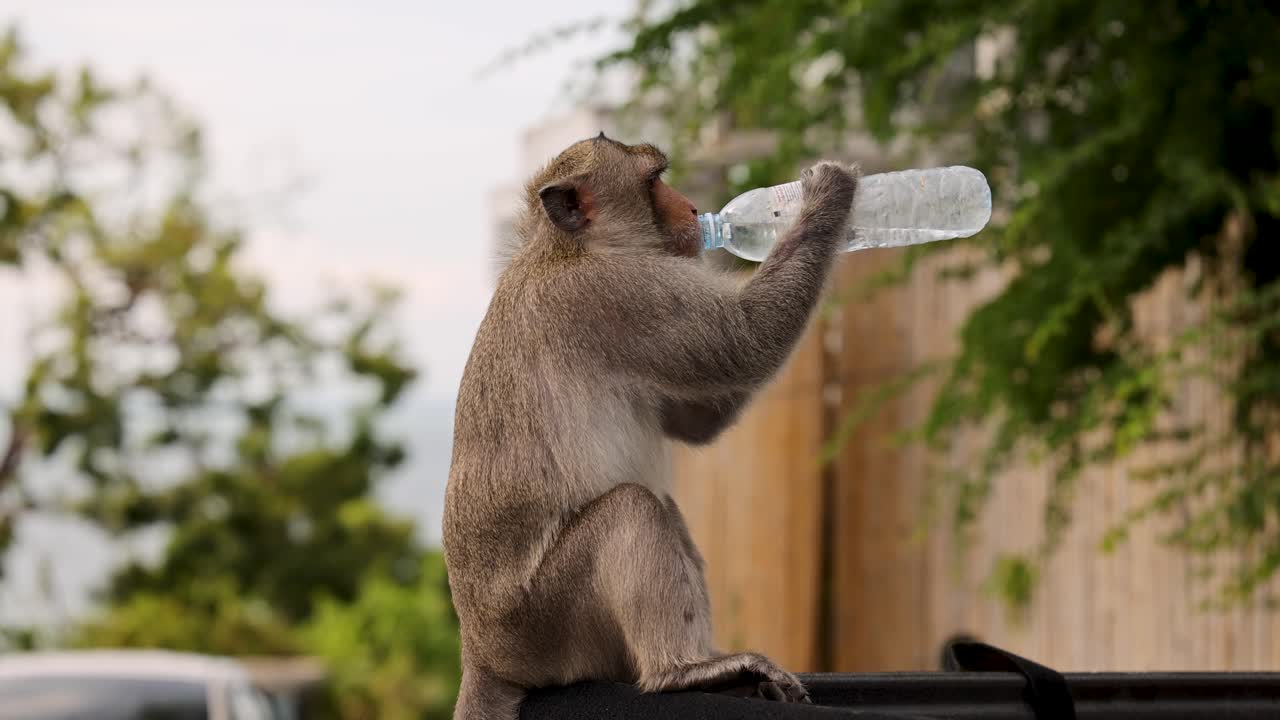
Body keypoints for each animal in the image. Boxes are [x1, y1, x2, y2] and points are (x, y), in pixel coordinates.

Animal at [443, 132, 857, 720]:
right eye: (654, 180)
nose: (692, 207)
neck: (570, 247)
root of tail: (480, 654)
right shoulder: (619, 293)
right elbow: (744, 341)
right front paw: (827, 197)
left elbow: (694, 422)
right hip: (543, 623)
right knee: (632, 509)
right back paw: (678, 673)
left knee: (661, 509)